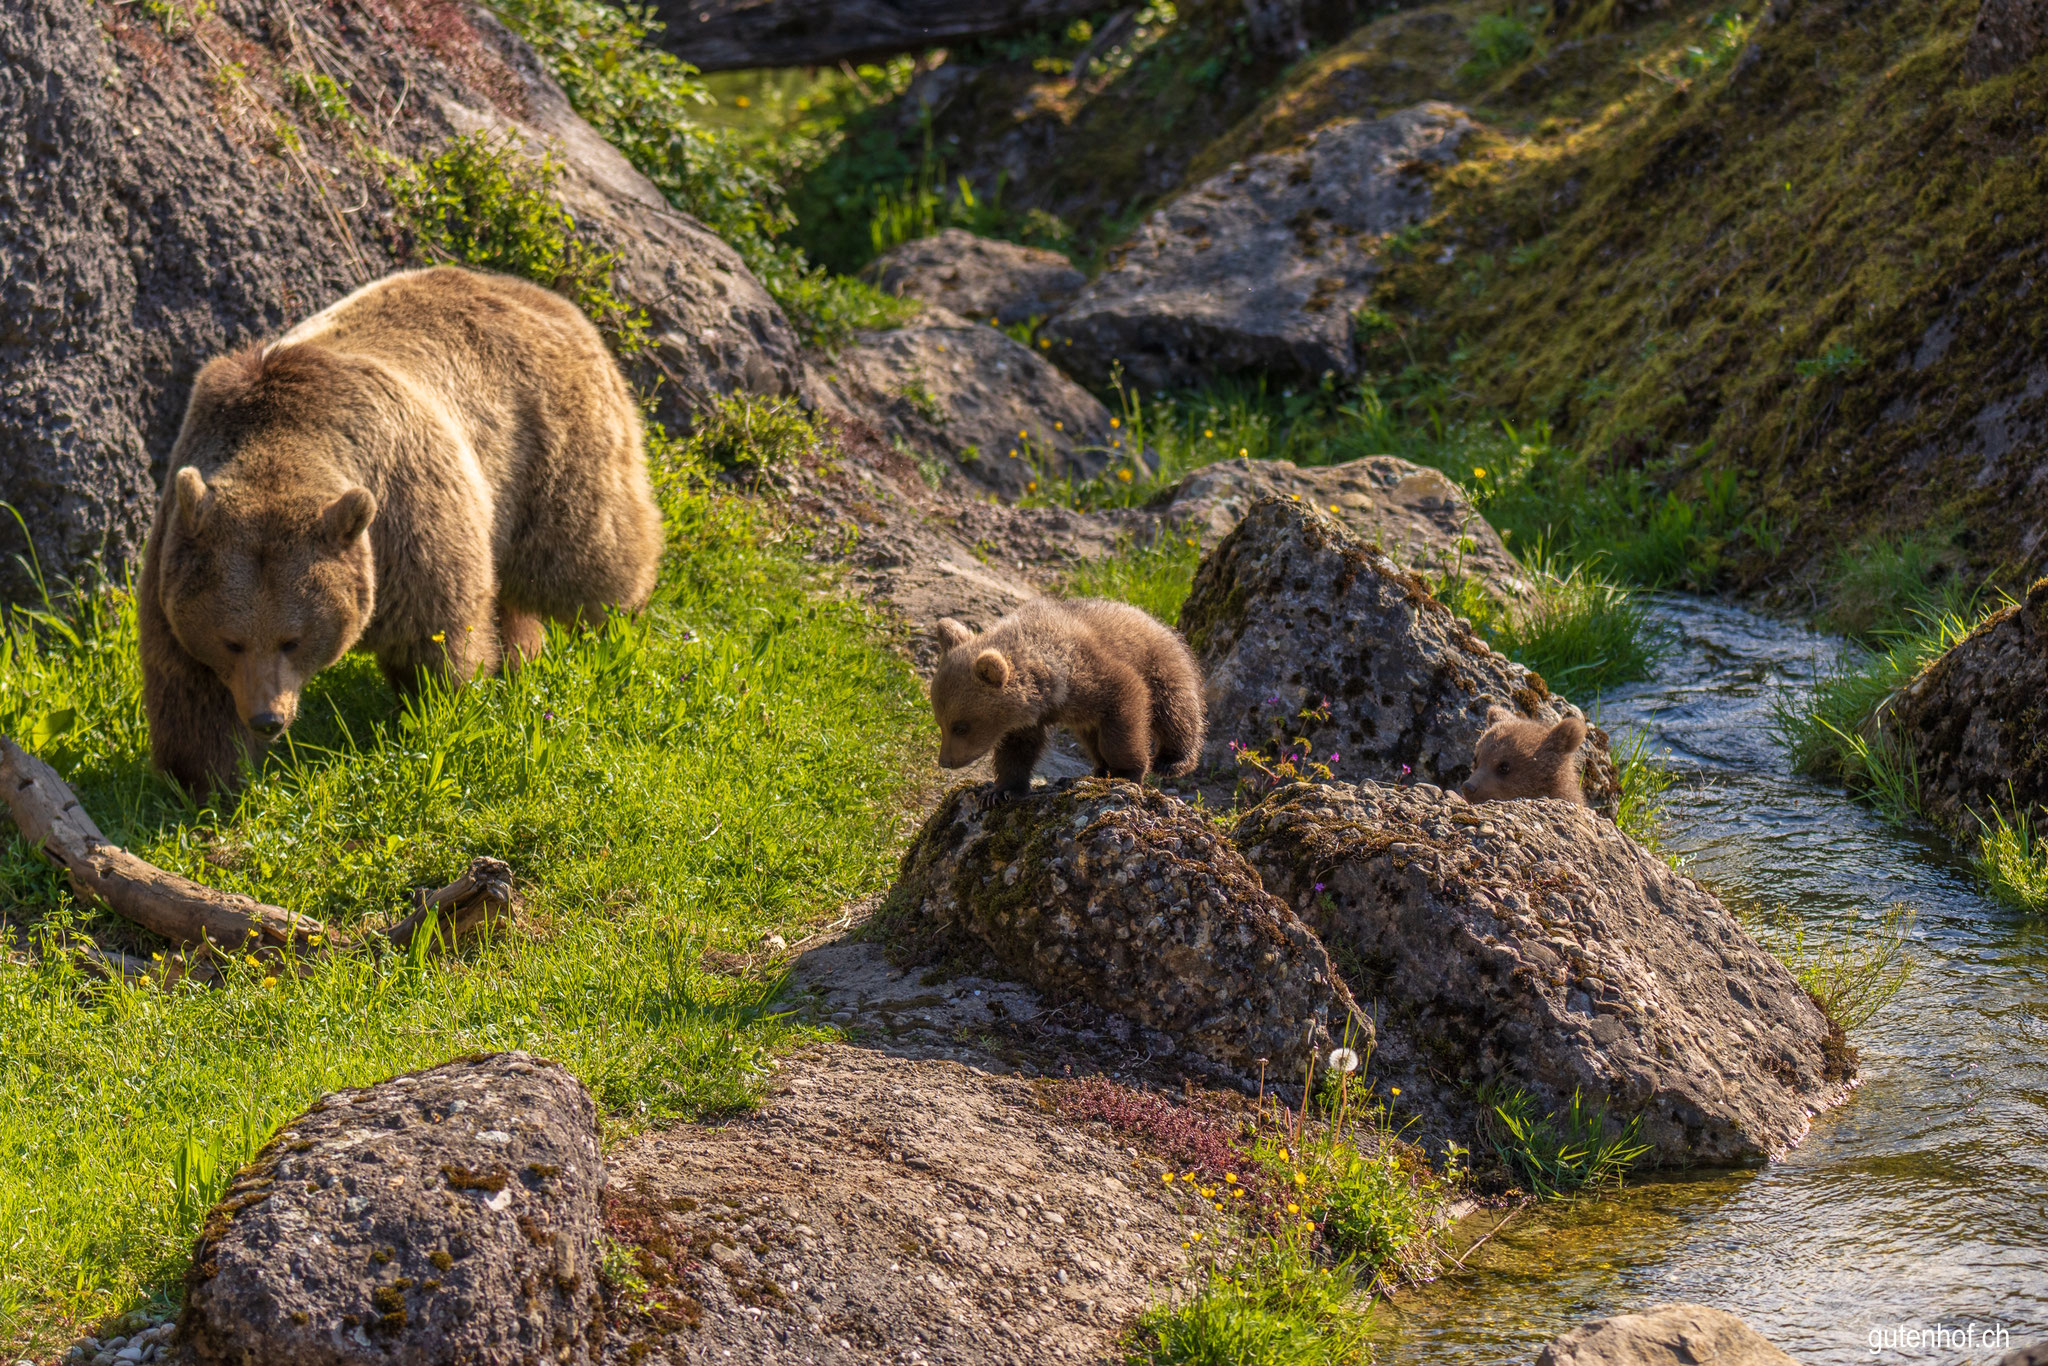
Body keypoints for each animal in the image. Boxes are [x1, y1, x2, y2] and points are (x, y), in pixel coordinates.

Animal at [137, 266, 663, 795]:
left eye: (293, 639)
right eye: (231, 640)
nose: (269, 719)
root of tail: (538, 294)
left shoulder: (408, 520)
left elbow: (434, 637)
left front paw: (438, 711)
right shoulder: (178, 550)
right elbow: (191, 690)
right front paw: (205, 781)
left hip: (550, 447)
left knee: (588, 558)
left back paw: (618, 633)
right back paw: (525, 656)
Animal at [929, 596, 1206, 803]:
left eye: (961, 727)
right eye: (940, 722)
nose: (946, 761)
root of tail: (1152, 617)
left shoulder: (1096, 676)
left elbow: (1125, 713)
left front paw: (1127, 772)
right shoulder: (1029, 717)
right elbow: (1017, 749)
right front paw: (1000, 791)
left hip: (1159, 663)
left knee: (1176, 711)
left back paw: (1172, 761)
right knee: (1091, 735)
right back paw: (1099, 768)